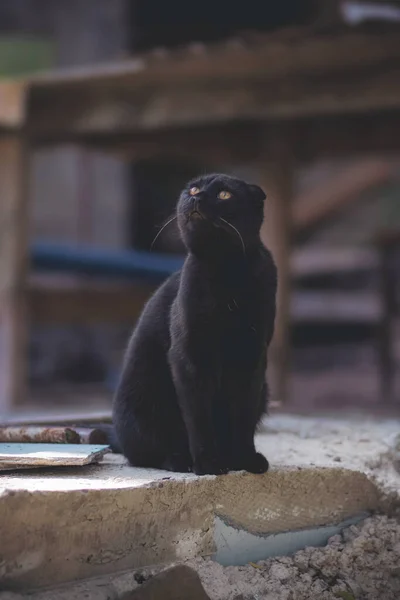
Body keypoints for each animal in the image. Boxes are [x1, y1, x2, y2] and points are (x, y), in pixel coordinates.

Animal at [111, 173, 276, 474]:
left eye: (224, 194)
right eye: (194, 188)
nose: (197, 197)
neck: (227, 271)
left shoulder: (252, 356)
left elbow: (243, 416)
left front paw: (246, 460)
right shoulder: (190, 356)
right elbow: (199, 417)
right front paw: (208, 463)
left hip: (264, 390)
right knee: (151, 453)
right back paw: (182, 461)